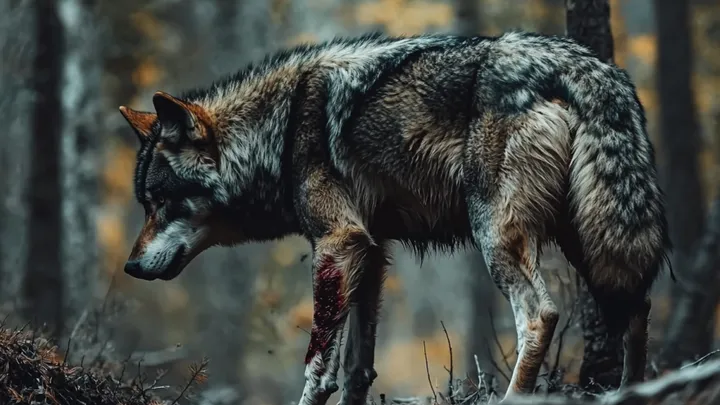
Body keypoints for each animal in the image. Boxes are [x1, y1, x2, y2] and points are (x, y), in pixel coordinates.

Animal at [119, 31, 670, 405]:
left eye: (159, 202)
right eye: (145, 204)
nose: (129, 267)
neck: (279, 131)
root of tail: (587, 66)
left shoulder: (338, 242)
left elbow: (317, 365)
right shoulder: (371, 251)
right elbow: (357, 369)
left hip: (497, 236)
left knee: (542, 314)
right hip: (592, 237)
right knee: (637, 306)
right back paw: (633, 391)